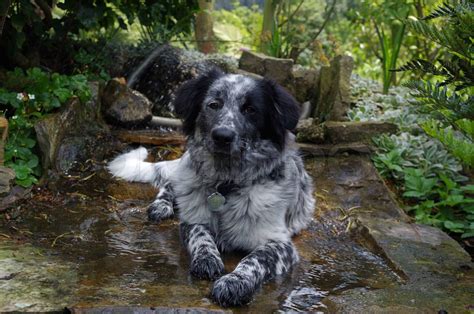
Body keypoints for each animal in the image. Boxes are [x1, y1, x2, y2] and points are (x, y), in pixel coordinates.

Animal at [107, 69, 314, 306]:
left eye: (251, 109)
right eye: (214, 104)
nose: (222, 136)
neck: (225, 184)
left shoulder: (280, 244)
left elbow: (254, 258)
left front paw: (234, 282)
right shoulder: (191, 221)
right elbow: (200, 236)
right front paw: (207, 259)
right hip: (185, 168)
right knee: (170, 183)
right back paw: (161, 205)